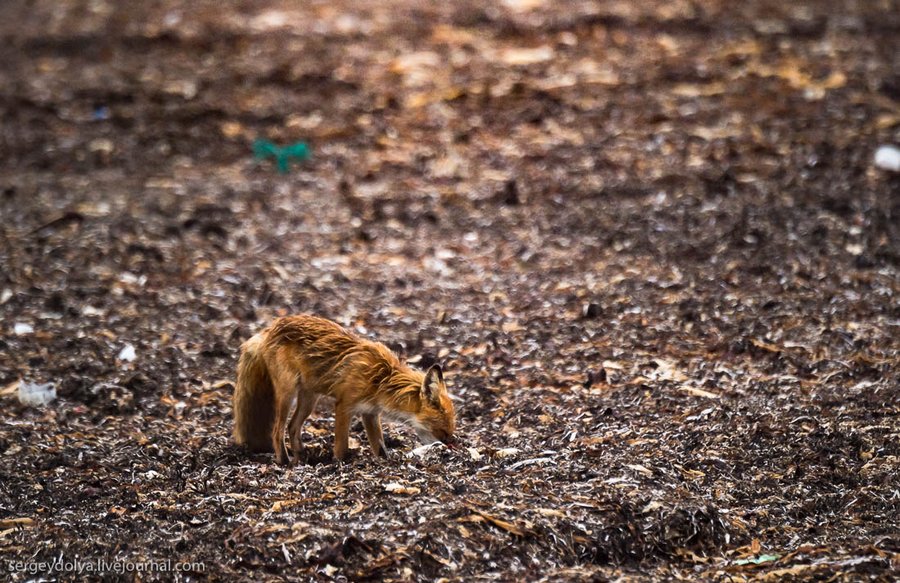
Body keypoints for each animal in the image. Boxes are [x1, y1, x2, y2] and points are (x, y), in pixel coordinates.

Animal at [234, 314, 458, 466]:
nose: (451, 447)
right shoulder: (344, 405)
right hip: (287, 394)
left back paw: (302, 457)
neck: (382, 379)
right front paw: (339, 465)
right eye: (443, 431)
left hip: (309, 399)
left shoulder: (370, 413)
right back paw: (285, 462)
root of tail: (269, 328)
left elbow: (380, 447)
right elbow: (341, 446)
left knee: (292, 427)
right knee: (277, 431)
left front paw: (384, 462)